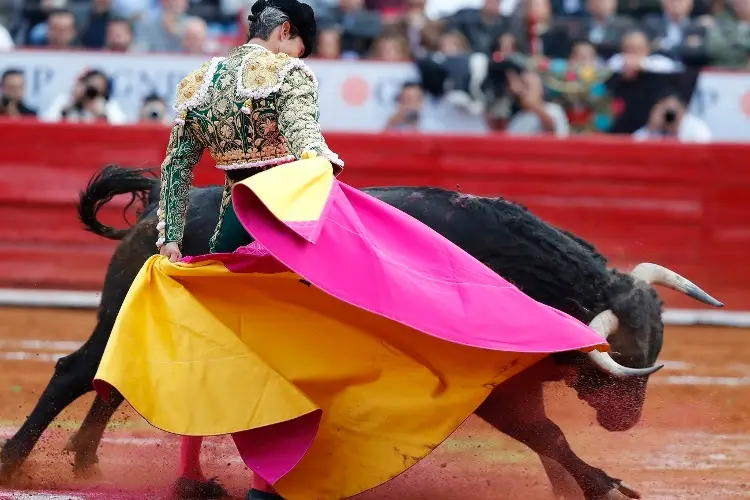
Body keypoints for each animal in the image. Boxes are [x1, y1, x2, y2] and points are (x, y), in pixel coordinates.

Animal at [0, 166, 724, 498]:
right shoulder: (486, 386)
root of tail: (159, 207)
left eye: (658, 345)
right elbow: (545, 433)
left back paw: (87, 459)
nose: (627, 422)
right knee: (75, 371)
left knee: (114, 382)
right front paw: (603, 482)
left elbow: (548, 438)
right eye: (621, 353)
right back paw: (20, 459)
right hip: (115, 320)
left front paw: (578, 484)